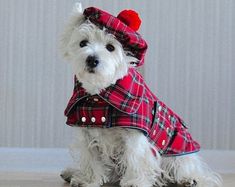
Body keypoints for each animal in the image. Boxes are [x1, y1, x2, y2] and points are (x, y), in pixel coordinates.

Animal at [59, 3, 222, 187]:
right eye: (83, 43)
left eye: (110, 47)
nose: (92, 60)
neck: (100, 95)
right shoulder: (86, 133)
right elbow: (90, 159)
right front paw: (87, 180)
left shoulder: (134, 135)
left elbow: (135, 158)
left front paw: (134, 182)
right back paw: (71, 173)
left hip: (177, 152)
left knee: (188, 168)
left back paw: (189, 179)